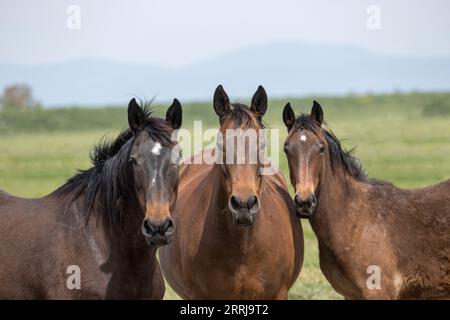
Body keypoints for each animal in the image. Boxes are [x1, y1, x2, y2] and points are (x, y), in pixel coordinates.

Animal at [284, 102, 448, 300]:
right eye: (286, 149)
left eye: (321, 148)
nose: (304, 202)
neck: (354, 220)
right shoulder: (351, 295)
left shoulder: (379, 292)